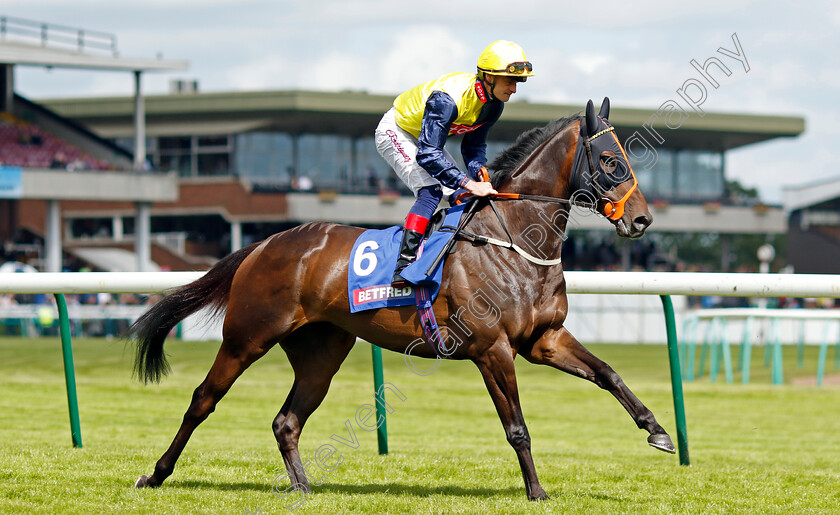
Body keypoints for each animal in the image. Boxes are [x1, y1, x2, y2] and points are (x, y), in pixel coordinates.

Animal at [131, 97, 672, 500]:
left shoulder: (545, 339)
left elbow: (608, 373)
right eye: (611, 161)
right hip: (247, 337)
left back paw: (303, 487)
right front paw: (536, 491)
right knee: (203, 400)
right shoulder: (492, 349)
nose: (642, 220)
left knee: (287, 420)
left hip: (321, 352)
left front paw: (657, 430)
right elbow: (517, 426)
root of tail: (265, 243)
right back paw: (155, 473)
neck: (515, 239)